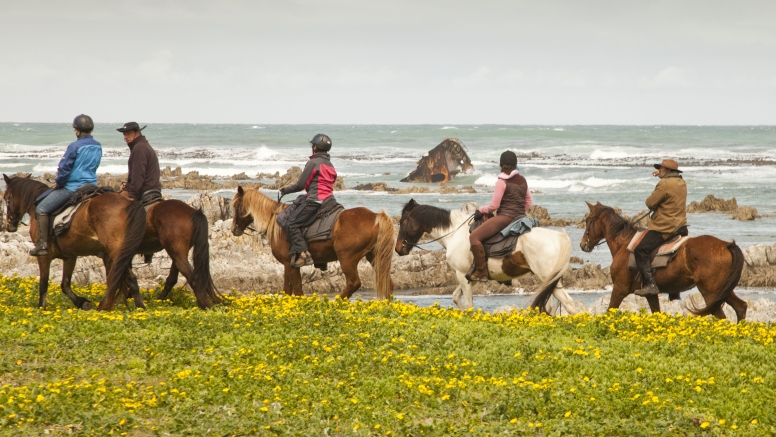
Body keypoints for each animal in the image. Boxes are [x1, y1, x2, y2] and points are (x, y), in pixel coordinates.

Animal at [2, 174, 146, 310]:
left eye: (6, 198)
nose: (9, 225)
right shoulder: (69, 256)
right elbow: (65, 284)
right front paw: (82, 302)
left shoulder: (44, 256)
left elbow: (44, 283)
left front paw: (41, 307)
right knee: (128, 278)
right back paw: (139, 308)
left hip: (115, 252)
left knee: (120, 278)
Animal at [227, 186, 392, 298]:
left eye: (236, 205)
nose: (234, 229)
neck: (275, 221)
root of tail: (376, 216)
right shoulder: (289, 265)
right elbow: (289, 290)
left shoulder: (290, 265)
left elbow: (296, 291)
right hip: (374, 257)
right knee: (387, 282)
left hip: (347, 259)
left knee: (353, 283)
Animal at [394, 199, 576, 312]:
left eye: (402, 222)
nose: (398, 249)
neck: (454, 234)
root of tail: (560, 237)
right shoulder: (470, 277)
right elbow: (456, 297)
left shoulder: (461, 275)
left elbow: (468, 305)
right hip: (548, 280)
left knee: (568, 304)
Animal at [580, 201, 748, 320]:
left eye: (588, 220)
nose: (583, 244)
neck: (624, 244)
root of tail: (727, 245)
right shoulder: (651, 295)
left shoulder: (619, 289)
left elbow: (609, 311)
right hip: (723, 290)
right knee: (741, 307)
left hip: (710, 292)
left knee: (721, 316)